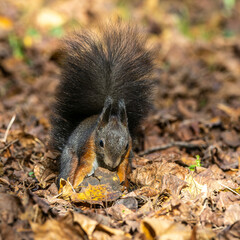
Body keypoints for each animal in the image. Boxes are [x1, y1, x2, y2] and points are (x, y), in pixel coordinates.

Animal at [49, 22, 155, 188]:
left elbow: (123, 169)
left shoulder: (127, 155)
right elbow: (83, 168)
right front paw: (77, 185)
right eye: (100, 143)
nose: (112, 165)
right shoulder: (88, 149)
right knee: (69, 170)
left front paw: (123, 183)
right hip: (70, 159)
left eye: (126, 145)